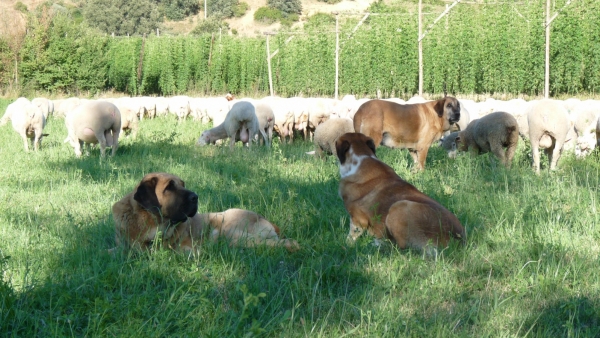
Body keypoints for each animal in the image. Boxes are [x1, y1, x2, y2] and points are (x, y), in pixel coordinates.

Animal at [336, 133, 466, 252]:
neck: (361, 157)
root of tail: (458, 239)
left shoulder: (357, 219)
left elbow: (352, 234)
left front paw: (346, 244)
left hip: (399, 206)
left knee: (400, 246)